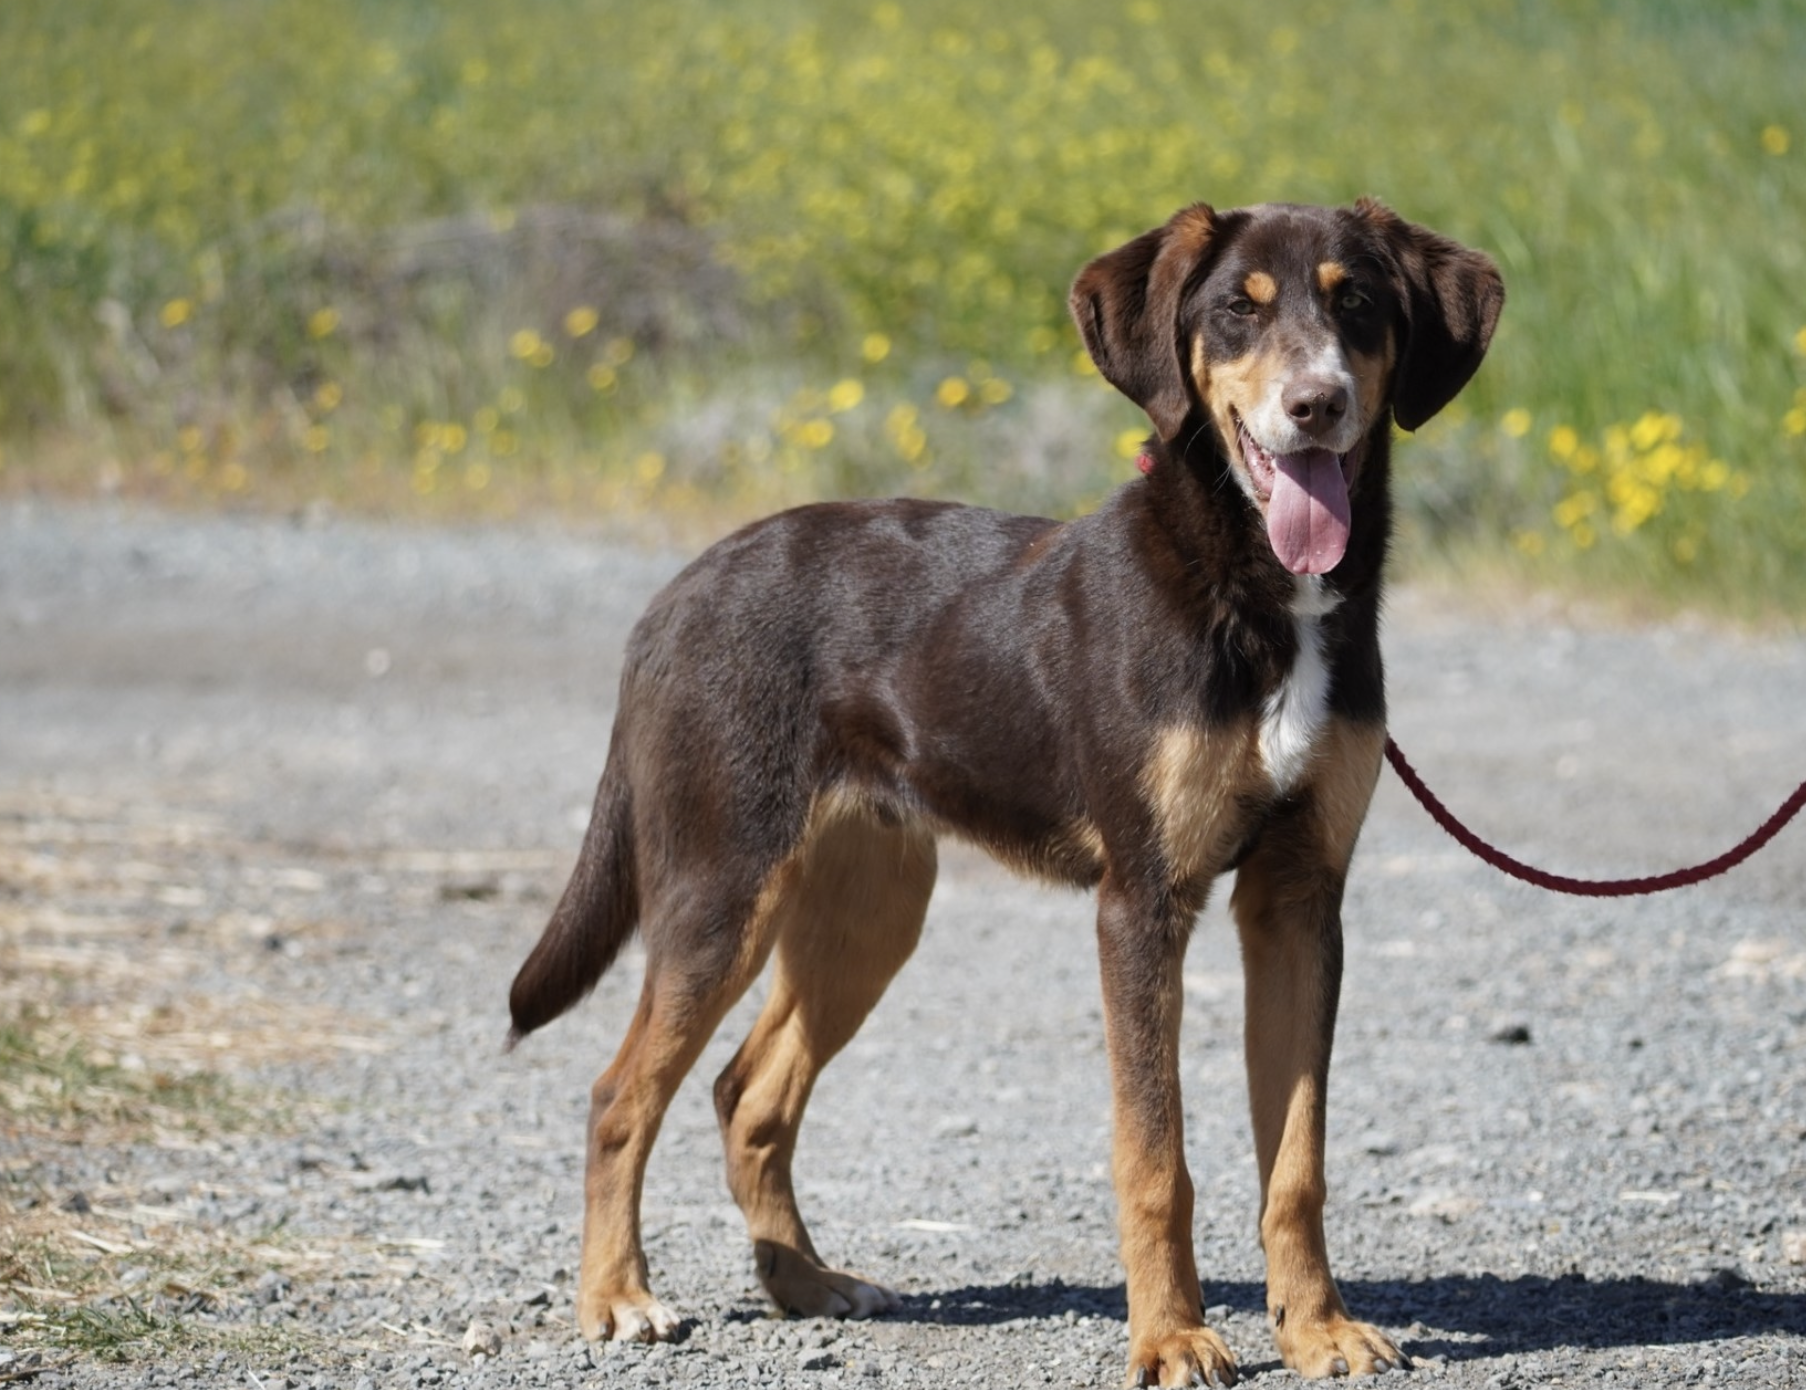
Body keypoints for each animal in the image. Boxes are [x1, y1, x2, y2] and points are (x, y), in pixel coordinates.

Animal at [502, 200, 1502, 1379]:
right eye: (1235, 311)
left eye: (1359, 303)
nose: (1318, 405)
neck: (1260, 593)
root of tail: (674, 595)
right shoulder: (1142, 904)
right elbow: (1155, 1158)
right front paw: (1170, 1336)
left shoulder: (1298, 901)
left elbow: (1297, 1161)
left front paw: (1316, 1329)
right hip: (720, 891)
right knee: (620, 1096)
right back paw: (617, 1296)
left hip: (868, 911)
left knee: (748, 1092)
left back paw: (808, 1281)